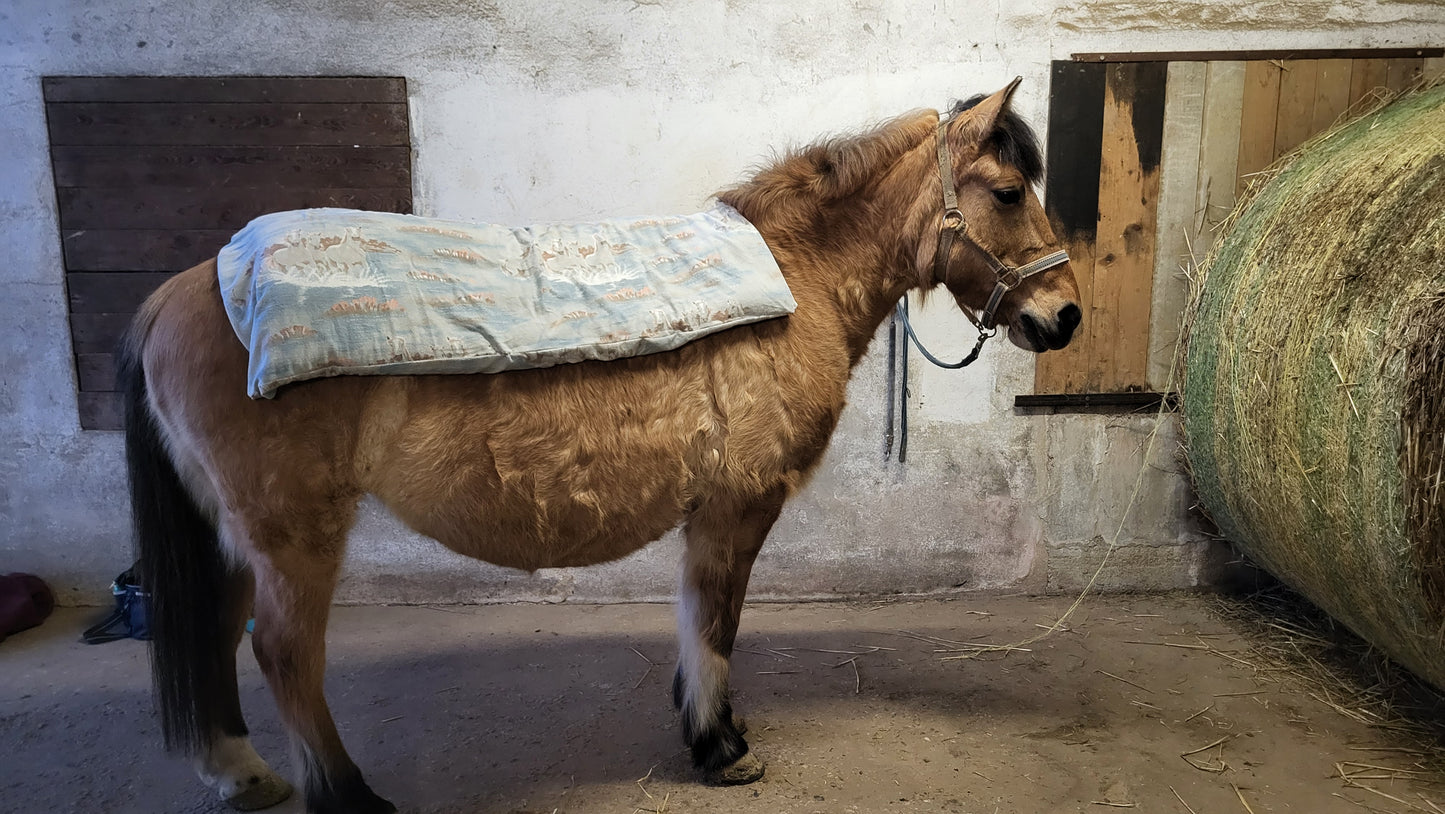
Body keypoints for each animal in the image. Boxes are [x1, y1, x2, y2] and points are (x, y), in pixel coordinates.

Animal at [122, 79, 1081, 814]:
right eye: (1007, 191)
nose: (1063, 315)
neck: (793, 279)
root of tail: (184, 289)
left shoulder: (714, 514)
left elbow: (698, 619)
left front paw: (710, 732)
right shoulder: (739, 506)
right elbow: (716, 623)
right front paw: (722, 748)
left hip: (237, 532)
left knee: (216, 626)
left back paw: (240, 773)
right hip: (293, 533)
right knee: (283, 654)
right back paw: (349, 796)